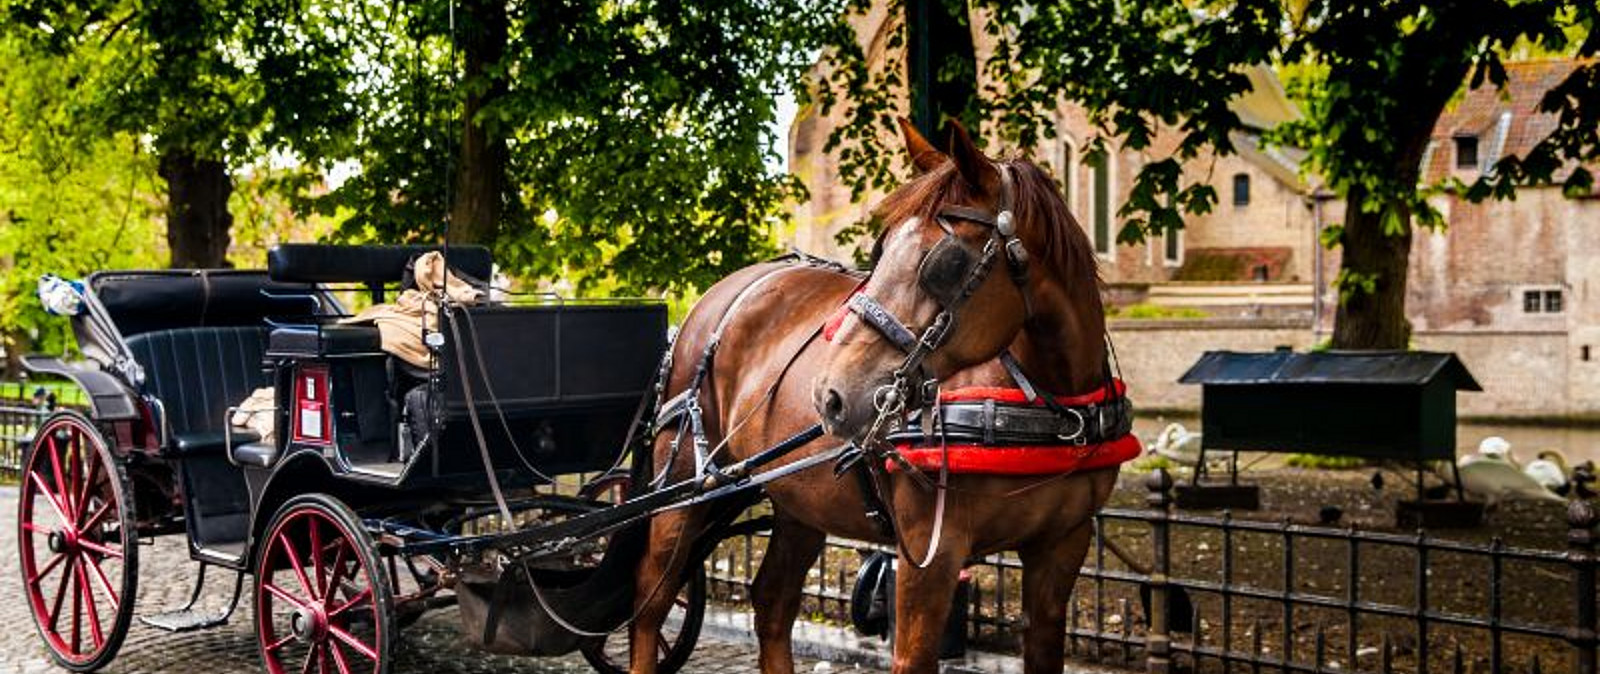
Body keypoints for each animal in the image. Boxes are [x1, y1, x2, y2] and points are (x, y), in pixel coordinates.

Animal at [630, 122, 1132, 672]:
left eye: (945, 262)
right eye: (882, 249)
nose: (830, 394)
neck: (1048, 400)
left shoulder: (1062, 549)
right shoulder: (930, 555)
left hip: (801, 502)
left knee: (772, 601)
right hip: (683, 484)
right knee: (649, 603)